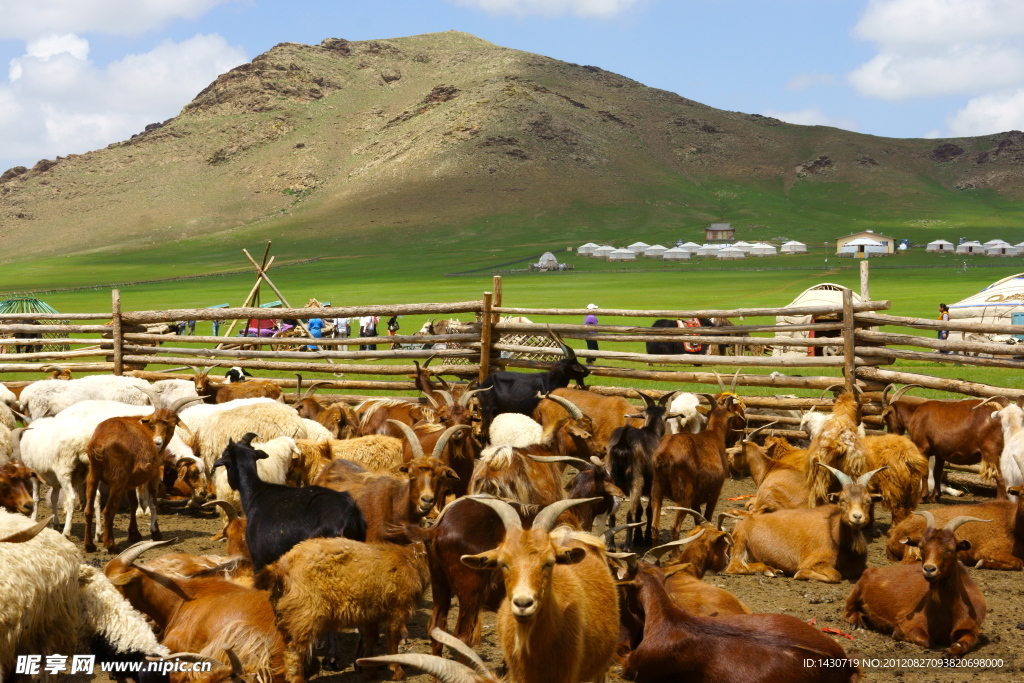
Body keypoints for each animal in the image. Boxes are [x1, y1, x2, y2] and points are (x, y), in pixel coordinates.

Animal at [86, 393, 199, 552]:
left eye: (171, 425)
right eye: (152, 423)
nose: (157, 442)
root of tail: (99, 443)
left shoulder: (130, 482)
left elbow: (133, 504)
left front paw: (134, 534)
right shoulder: (154, 474)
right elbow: (153, 502)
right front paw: (156, 533)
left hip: (93, 474)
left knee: (88, 509)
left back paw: (89, 545)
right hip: (118, 479)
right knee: (108, 510)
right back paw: (111, 545)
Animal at [606, 389, 679, 548]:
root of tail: (622, 442)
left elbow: (640, 510)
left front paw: (639, 537)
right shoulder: (653, 484)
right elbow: (649, 510)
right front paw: (645, 538)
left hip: (611, 478)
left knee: (612, 514)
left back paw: (612, 545)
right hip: (635, 479)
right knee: (629, 514)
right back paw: (627, 546)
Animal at [843, 511, 987, 655]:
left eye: (951, 549)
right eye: (921, 547)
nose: (929, 569)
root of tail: (874, 570)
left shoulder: (970, 629)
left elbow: (961, 644)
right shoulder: (910, 623)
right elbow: (928, 641)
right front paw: (898, 633)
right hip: (857, 590)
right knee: (848, 610)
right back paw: (857, 623)